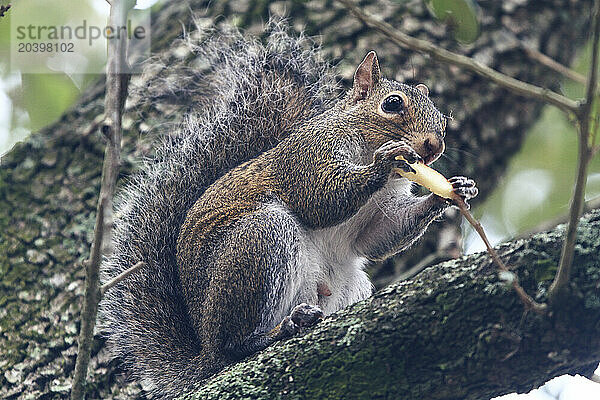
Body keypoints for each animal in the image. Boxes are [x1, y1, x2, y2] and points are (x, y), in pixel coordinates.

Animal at [99, 22, 478, 400]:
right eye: (393, 104)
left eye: (442, 119)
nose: (434, 146)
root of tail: (205, 348)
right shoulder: (308, 157)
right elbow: (321, 198)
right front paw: (385, 161)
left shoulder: (380, 212)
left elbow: (378, 236)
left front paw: (452, 190)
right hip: (261, 240)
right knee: (234, 347)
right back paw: (278, 329)